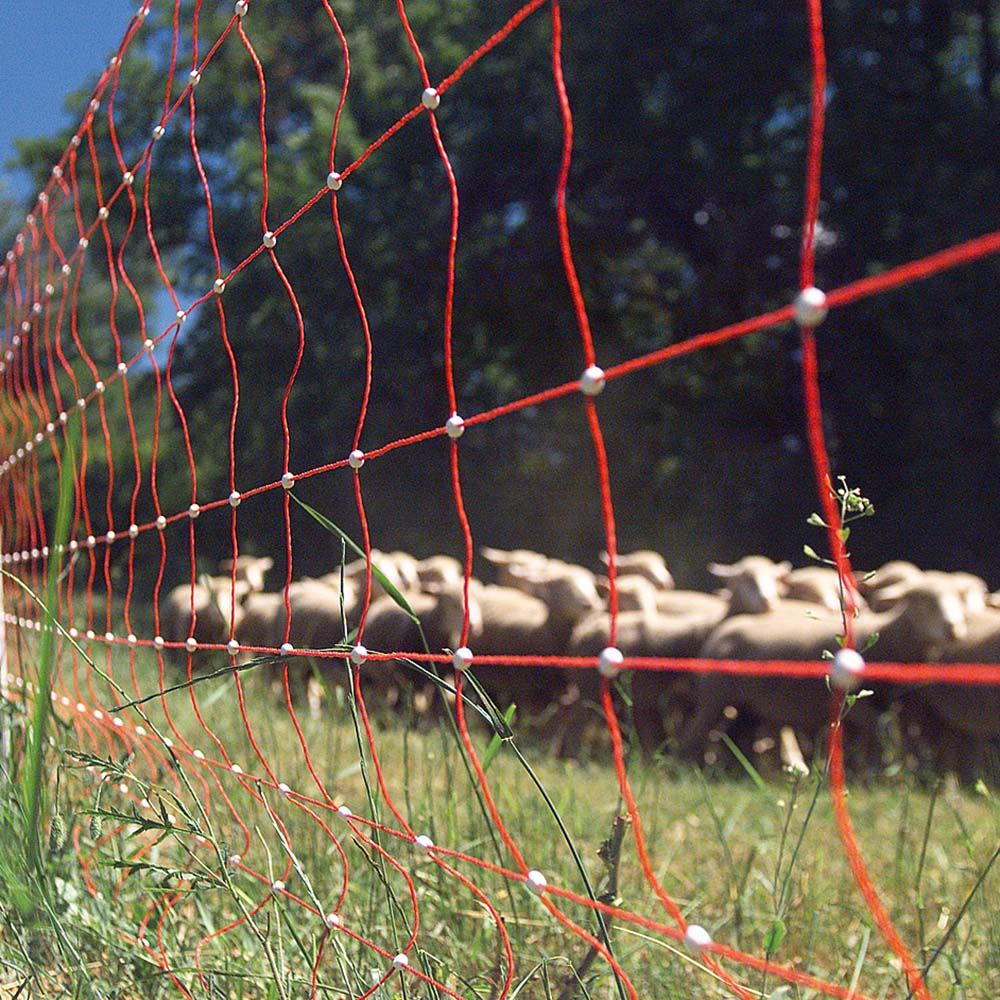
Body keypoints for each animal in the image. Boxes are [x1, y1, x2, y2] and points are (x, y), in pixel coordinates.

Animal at [680, 578, 969, 769]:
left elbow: (884, 734)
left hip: (747, 707)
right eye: (923, 603)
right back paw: (687, 768)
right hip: (714, 697)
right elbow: (880, 730)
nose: (953, 628)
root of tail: (722, 629)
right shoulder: (853, 701)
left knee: (740, 737)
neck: (890, 637)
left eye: (959, 600)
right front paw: (878, 771)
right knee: (696, 732)